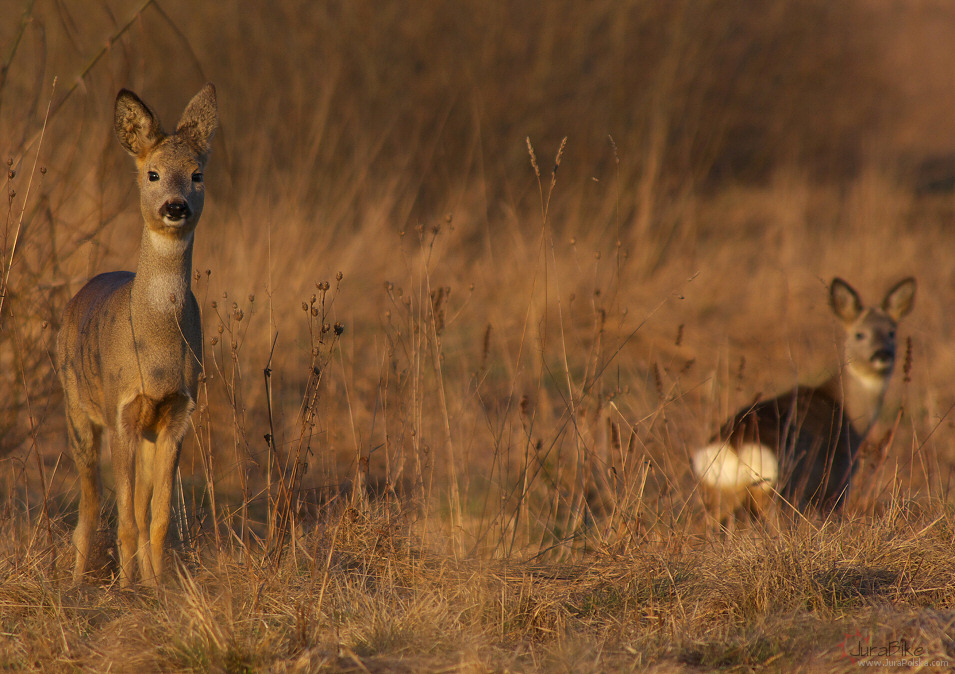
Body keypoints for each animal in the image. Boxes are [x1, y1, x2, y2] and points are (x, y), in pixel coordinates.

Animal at [57, 82, 218, 584]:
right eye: (152, 174)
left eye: (197, 174)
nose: (175, 206)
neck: (158, 350)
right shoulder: (121, 408)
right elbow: (125, 518)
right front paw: (126, 589)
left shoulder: (177, 412)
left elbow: (158, 516)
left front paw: (157, 585)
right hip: (77, 409)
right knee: (89, 508)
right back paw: (78, 582)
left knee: (139, 507)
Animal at [696, 276, 920, 528]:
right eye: (859, 334)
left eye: (891, 332)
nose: (882, 355)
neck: (846, 406)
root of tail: (735, 446)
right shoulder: (838, 478)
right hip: (778, 489)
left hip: (718, 495)